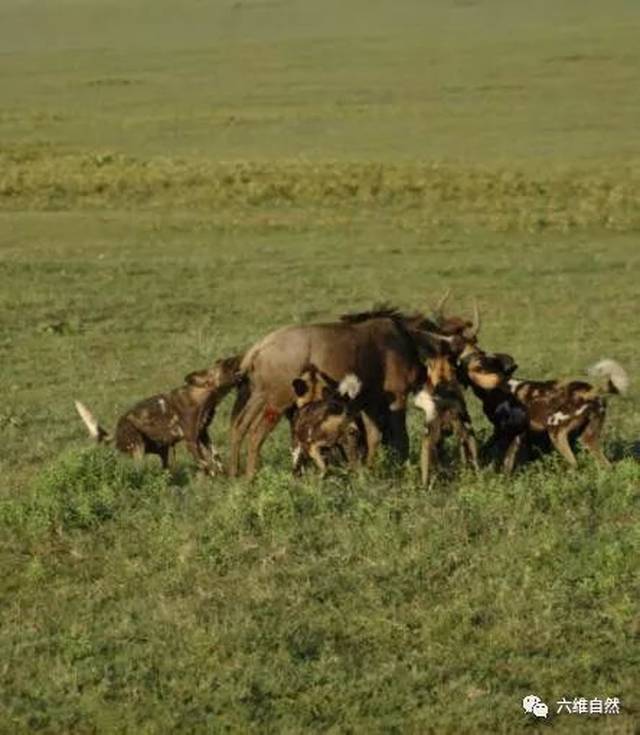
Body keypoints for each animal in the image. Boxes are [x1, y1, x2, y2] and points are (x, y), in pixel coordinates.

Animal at [73, 358, 242, 474]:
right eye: (226, 364)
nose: (237, 357)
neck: (202, 396)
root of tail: (115, 432)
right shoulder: (192, 440)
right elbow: (206, 465)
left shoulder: (203, 434)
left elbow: (216, 456)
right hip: (138, 447)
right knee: (139, 470)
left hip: (163, 450)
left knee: (165, 469)